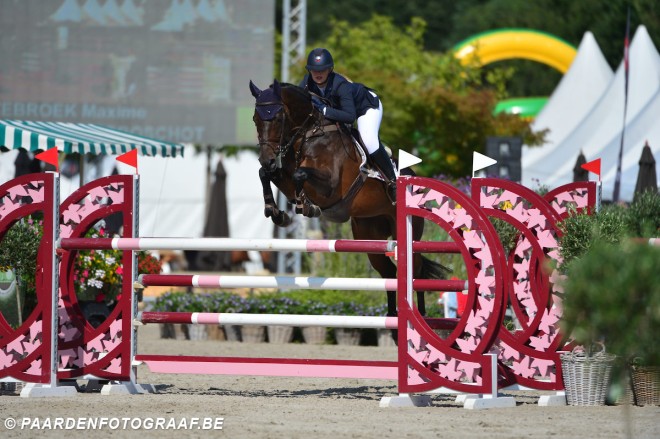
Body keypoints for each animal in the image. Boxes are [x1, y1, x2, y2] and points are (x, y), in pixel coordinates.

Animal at [249, 79, 448, 316]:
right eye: (255, 119)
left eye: (278, 118)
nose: (267, 159)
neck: (309, 135)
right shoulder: (284, 174)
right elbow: (266, 174)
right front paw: (277, 212)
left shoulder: (331, 187)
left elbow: (300, 174)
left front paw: (306, 205)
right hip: (371, 237)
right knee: (388, 273)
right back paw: (391, 319)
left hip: (410, 236)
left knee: (415, 272)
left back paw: (421, 317)